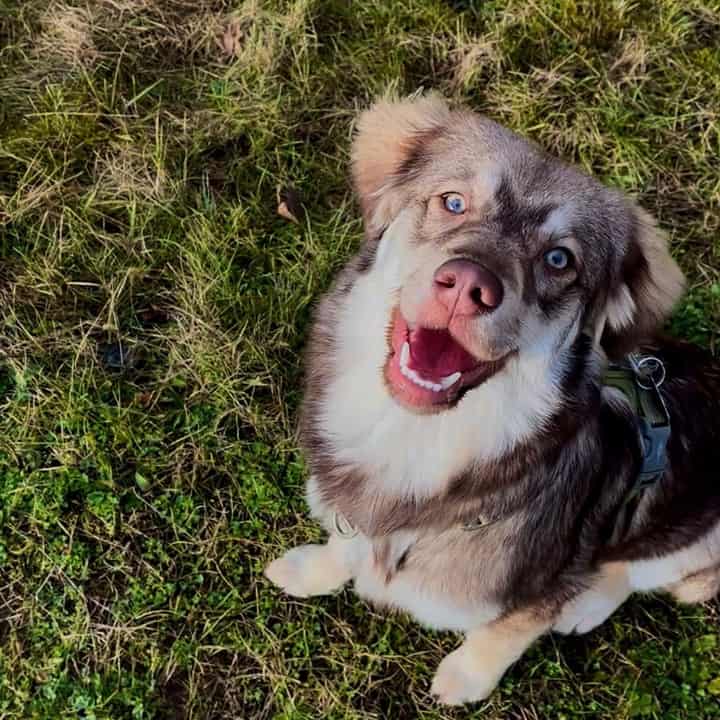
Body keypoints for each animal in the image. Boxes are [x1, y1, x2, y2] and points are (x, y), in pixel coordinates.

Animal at [266, 94, 720, 704]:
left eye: (559, 260)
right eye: (453, 202)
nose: (465, 285)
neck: (417, 446)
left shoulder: (537, 591)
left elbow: (501, 635)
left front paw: (465, 679)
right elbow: (342, 545)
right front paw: (310, 570)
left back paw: (586, 607)